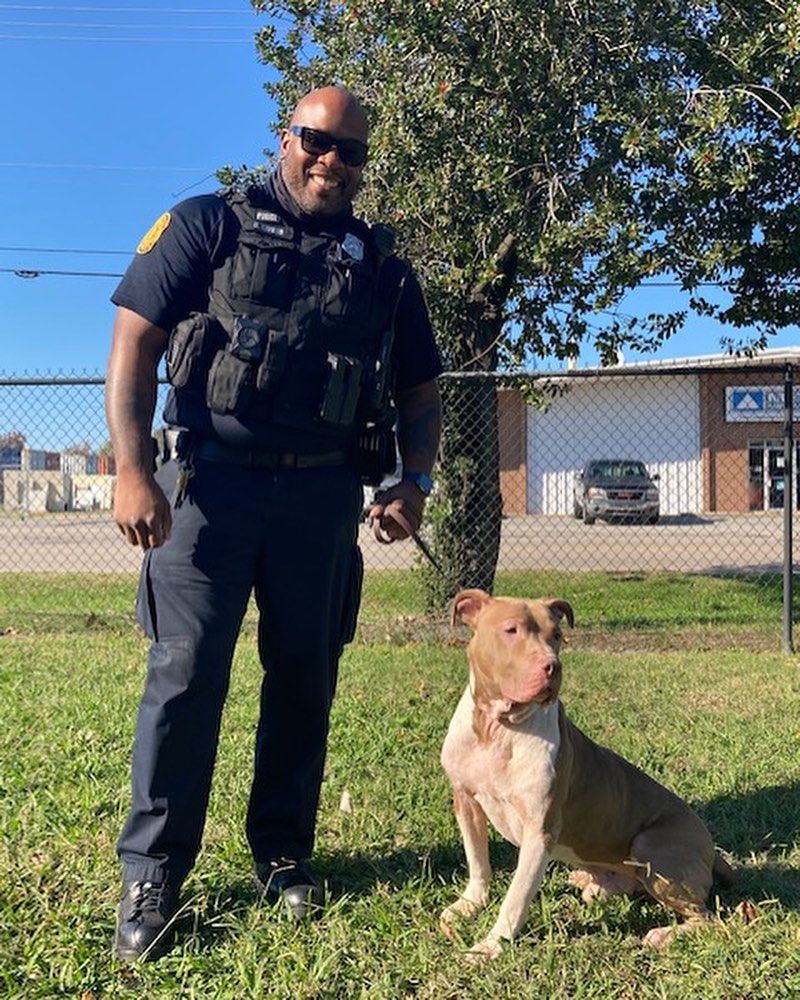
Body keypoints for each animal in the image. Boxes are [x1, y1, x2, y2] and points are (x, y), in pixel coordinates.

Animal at [440, 588, 736, 956]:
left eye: (556, 635)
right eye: (511, 630)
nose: (552, 666)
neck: (497, 728)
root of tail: (710, 845)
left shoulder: (540, 830)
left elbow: (516, 898)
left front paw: (491, 946)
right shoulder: (466, 802)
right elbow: (478, 861)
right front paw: (470, 904)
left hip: (653, 846)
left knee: (709, 919)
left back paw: (664, 934)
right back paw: (592, 882)